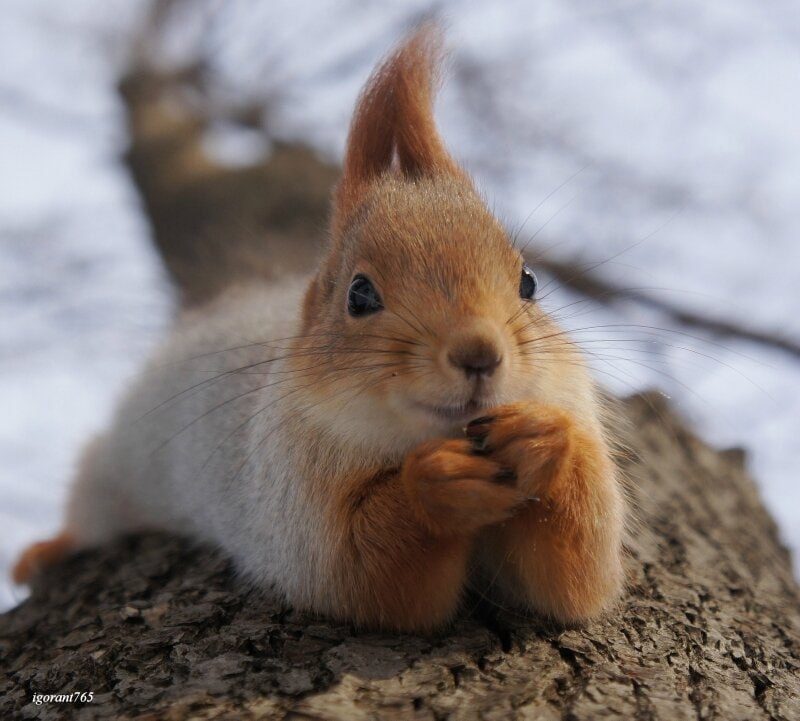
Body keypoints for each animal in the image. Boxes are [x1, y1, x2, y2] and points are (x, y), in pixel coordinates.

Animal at [10, 26, 624, 632]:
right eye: (359, 294)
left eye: (529, 282)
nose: (478, 354)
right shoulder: (288, 498)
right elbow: (360, 570)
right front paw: (435, 483)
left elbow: (574, 578)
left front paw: (543, 437)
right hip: (110, 471)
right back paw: (45, 550)